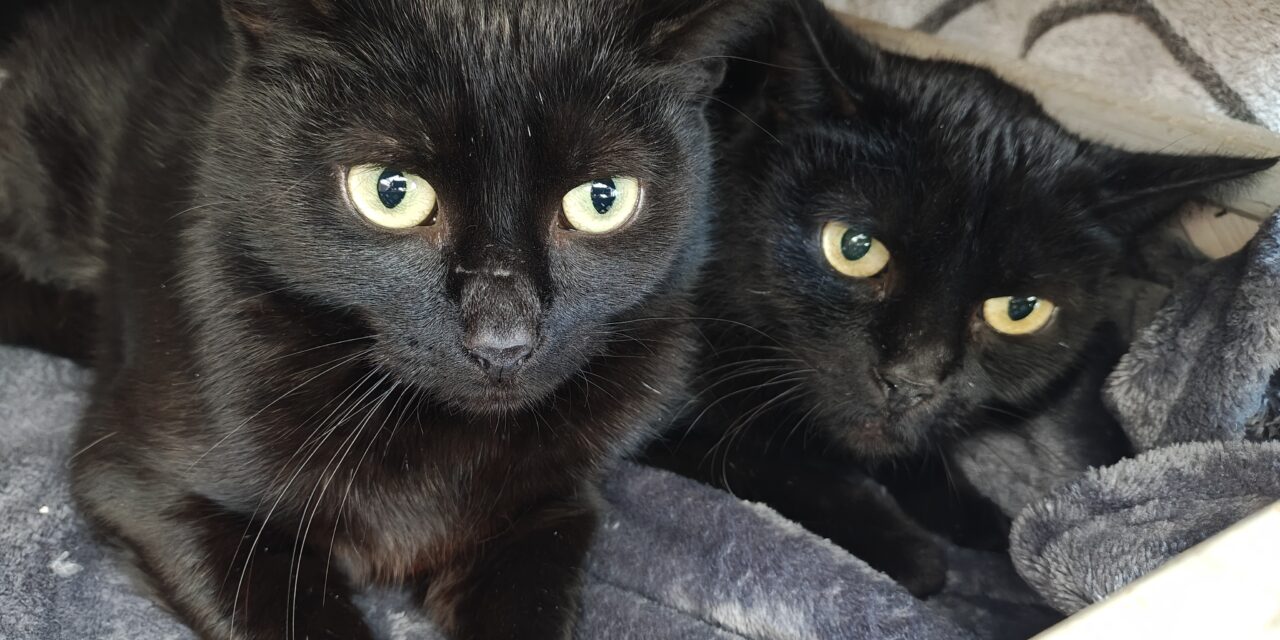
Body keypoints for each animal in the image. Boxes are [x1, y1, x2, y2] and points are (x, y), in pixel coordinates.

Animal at [645, 0, 1277, 597]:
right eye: (854, 247)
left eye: (1019, 310)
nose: (910, 380)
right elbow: (763, 463)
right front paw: (912, 552)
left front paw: (974, 518)